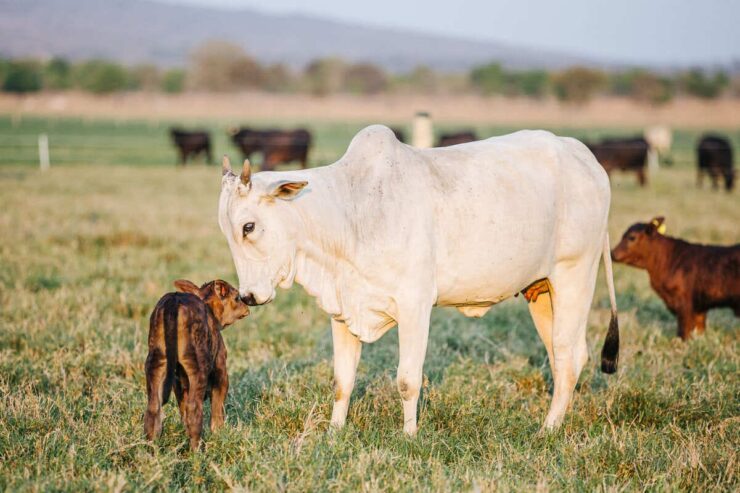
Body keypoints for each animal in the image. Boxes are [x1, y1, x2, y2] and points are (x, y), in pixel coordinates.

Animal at [218, 126, 620, 435]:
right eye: (227, 231)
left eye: (249, 226)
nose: (248, 296)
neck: (353, 212)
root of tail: (585, 157)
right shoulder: (343, 310)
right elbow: (342, 382)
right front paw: (334, 432)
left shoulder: (415, 307)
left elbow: (407, 380)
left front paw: (409, 435)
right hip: (542, 291)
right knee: (560, 356)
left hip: (574, 275)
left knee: (568, 354)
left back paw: (547, 429)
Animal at [611, 217, 740, 340]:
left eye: (632, 237)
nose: (612, 253)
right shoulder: (699, 307)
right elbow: (698, 329)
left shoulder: (684, 303)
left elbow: (684, 330)